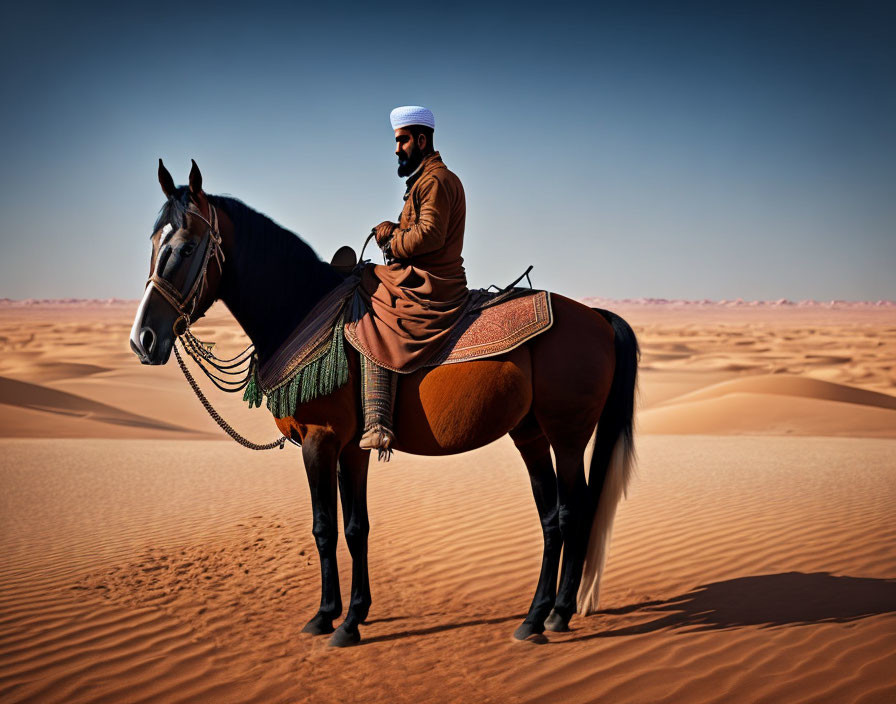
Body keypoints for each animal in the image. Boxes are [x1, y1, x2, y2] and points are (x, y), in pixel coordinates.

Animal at [131, 161, 636, 648]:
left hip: (567, 435)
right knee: (551, 518)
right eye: (153, 243)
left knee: (575, 511)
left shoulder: (320, 440)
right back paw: (536, 617)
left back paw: (558, 613)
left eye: (187, 247)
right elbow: (355, 528)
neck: (300, 310)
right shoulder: (349, 448)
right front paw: (346, 614)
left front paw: (334, 619)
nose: (143, 339)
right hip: (529, 434)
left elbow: (325, 527)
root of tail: (597, 317)